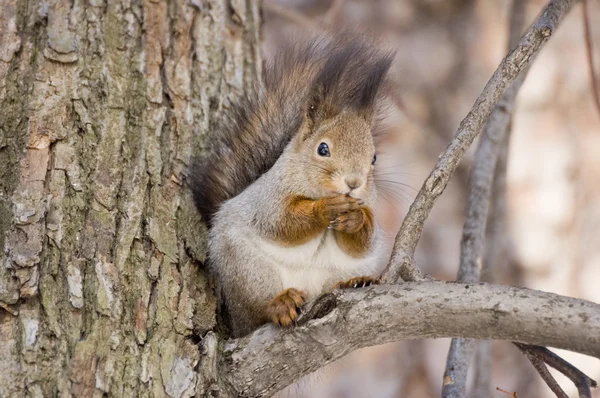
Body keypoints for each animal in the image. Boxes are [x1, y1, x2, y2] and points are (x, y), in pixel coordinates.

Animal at [192, 34, 396, 338]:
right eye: (323, 148)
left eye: (373, 157)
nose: (354, 183)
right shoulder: (269, 199)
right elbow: (281, 223)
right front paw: (324, 208)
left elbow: (363, 243)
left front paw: (355, 218)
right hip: (247, 270)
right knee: (257, 310)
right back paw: (280, 304)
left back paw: (355, 282)